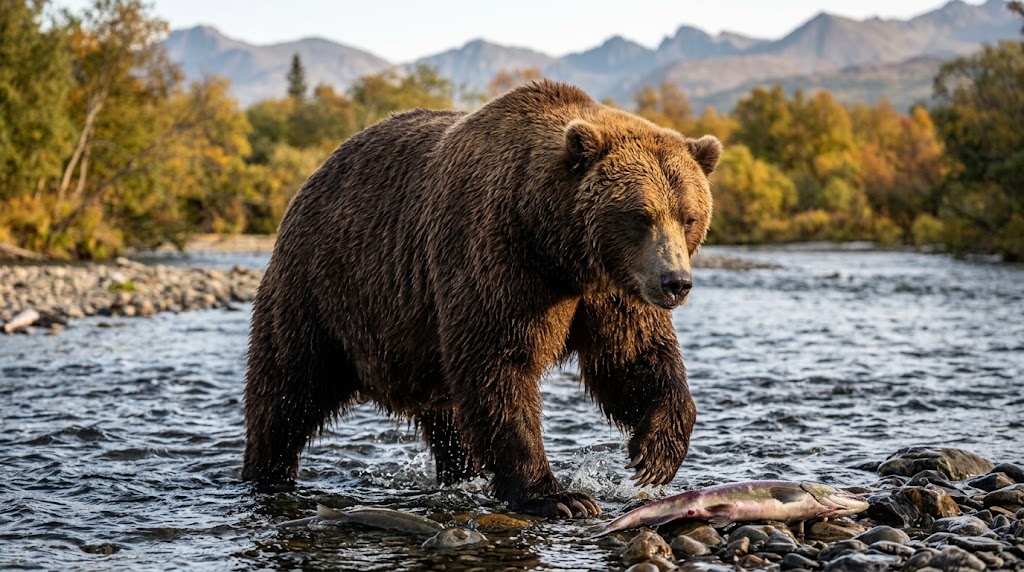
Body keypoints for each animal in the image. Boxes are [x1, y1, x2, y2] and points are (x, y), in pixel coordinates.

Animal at [242, 80, 721, 518]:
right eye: (640, 216)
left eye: (688, 215)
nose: (676, 282)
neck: (558, 249)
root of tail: (316, 174)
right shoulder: (497, 259)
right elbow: (500, 366)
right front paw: (558, 495)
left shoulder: (611, 292)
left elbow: (632, 358)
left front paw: (655, 454)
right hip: (324, 291)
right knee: (287, 390)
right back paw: (266, 473)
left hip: (418, 340)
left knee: (449, 419)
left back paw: (461, 475)